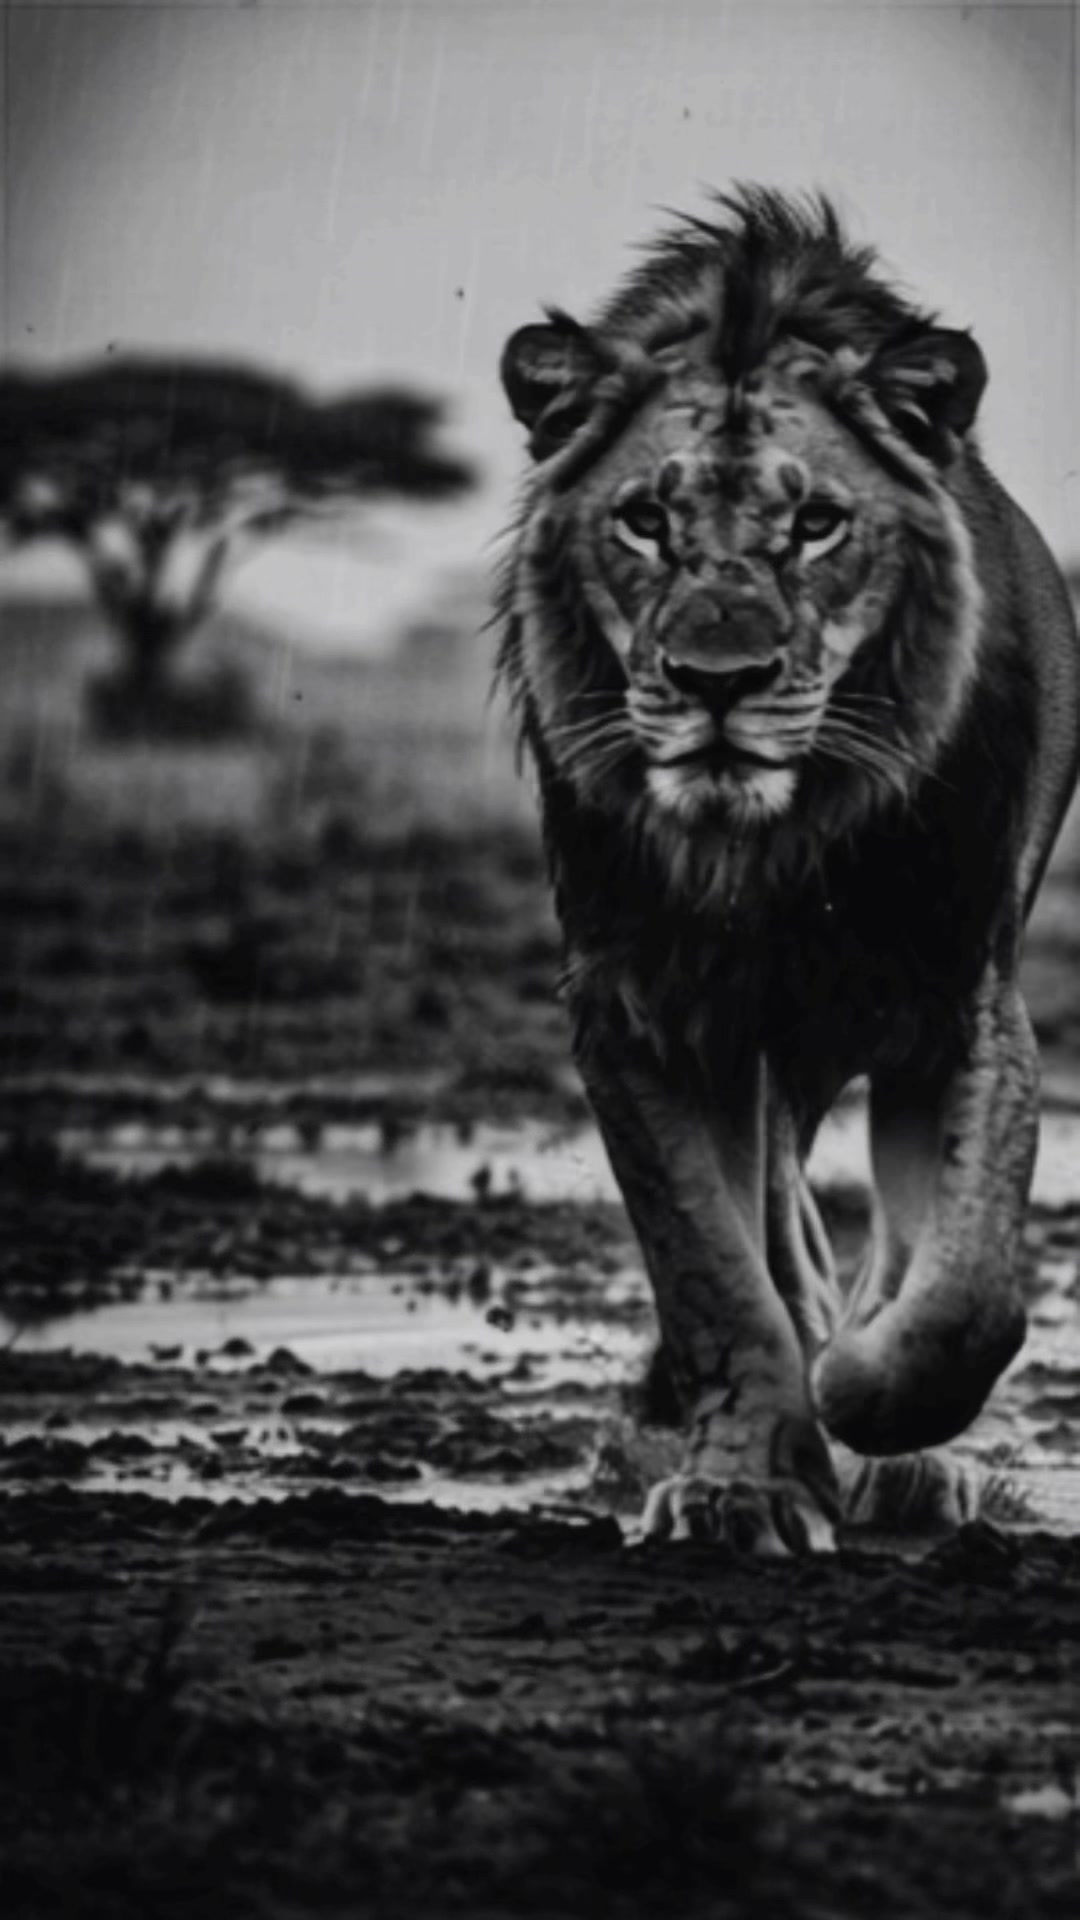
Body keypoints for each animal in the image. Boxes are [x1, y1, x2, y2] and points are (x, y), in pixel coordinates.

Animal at [495, 187, 1080, 1552]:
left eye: (816, 524)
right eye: (645, 520)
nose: (718, 682)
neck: (768, 854)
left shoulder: (957, 997)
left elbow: (962, 1295)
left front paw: (863, 1400)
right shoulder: (638, 1006)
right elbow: (713, 1270)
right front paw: (741, 1485)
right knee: (773, 1221)